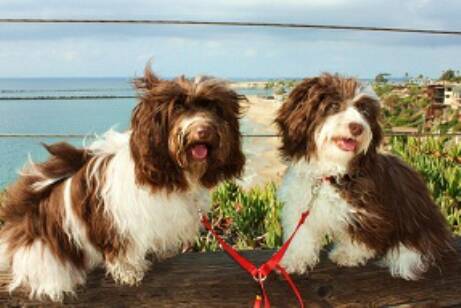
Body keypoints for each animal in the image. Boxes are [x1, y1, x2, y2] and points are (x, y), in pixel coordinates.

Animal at [0, 66, 244, 300]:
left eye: (213, 108)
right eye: (177, 109)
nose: (203, 130)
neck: (170, 172)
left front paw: (163, 249)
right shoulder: (117, 220)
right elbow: (123, 249)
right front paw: (130, 272)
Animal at [274, 74, 452, 280]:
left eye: (363, 110)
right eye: (333, 105)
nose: (357, 128)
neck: (331, 172)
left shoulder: (366, 212)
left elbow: (359, 237)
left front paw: (348, 254)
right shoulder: (300, 204)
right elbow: (301, 234)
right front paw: (295, 259)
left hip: (416, 218)